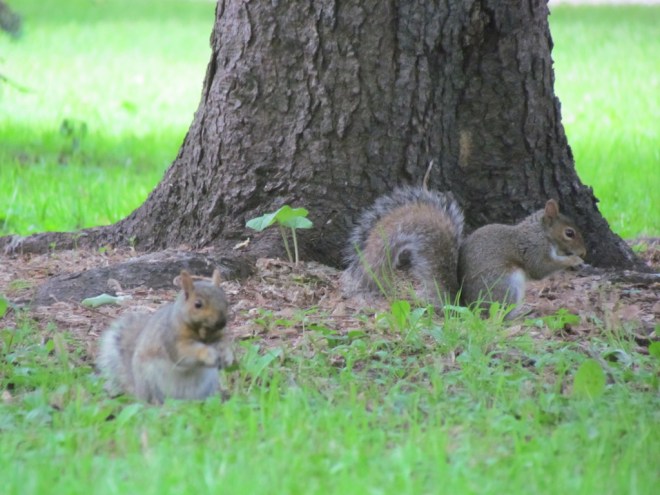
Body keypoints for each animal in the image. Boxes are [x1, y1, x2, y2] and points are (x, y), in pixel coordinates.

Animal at [97, 269, 234, 404]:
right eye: (197, 304)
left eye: (225, 301)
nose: (221, 322)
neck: (203, 332)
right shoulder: (172, 339)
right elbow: (185, 353)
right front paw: (208, 354)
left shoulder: (218, 338)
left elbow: (223, 345)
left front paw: (228, 357)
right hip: (149, 380)